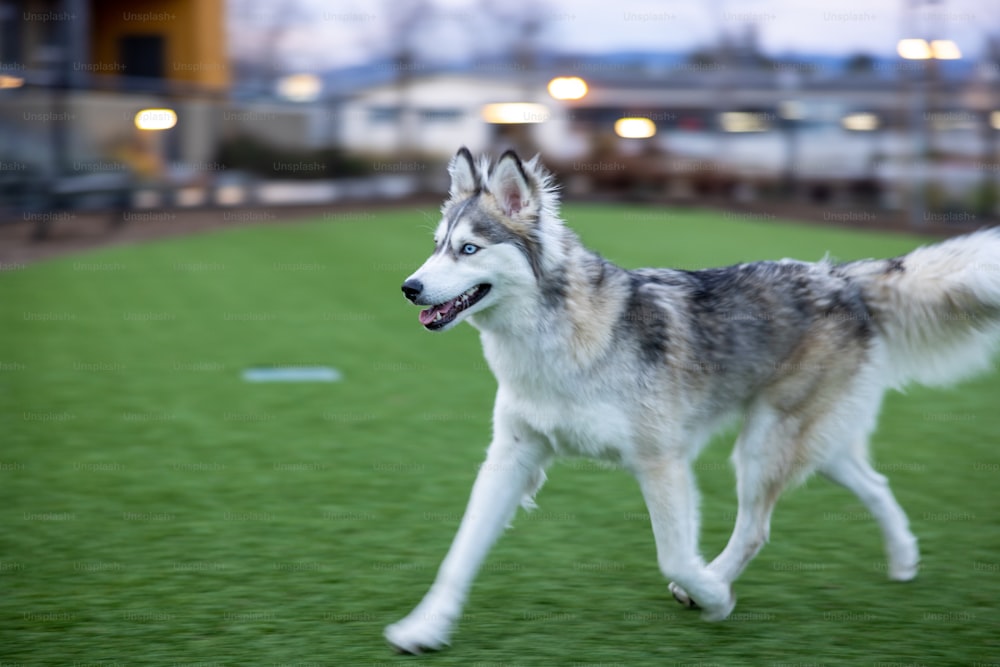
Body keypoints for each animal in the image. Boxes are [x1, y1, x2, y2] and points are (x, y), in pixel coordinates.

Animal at [388, 146, 1000, 652]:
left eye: (469, 249)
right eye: (437, 247)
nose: (409, 288)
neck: (556, 342)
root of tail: (840, 277)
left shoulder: (661, 461)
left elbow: (676, 555)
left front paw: (711, 595)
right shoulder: (513, 455)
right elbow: (461, 550)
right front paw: (426, 627)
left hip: (765, 446)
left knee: (756, 528)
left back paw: (721, 583)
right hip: (816, 446)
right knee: (876, 483)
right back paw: (903, 559)